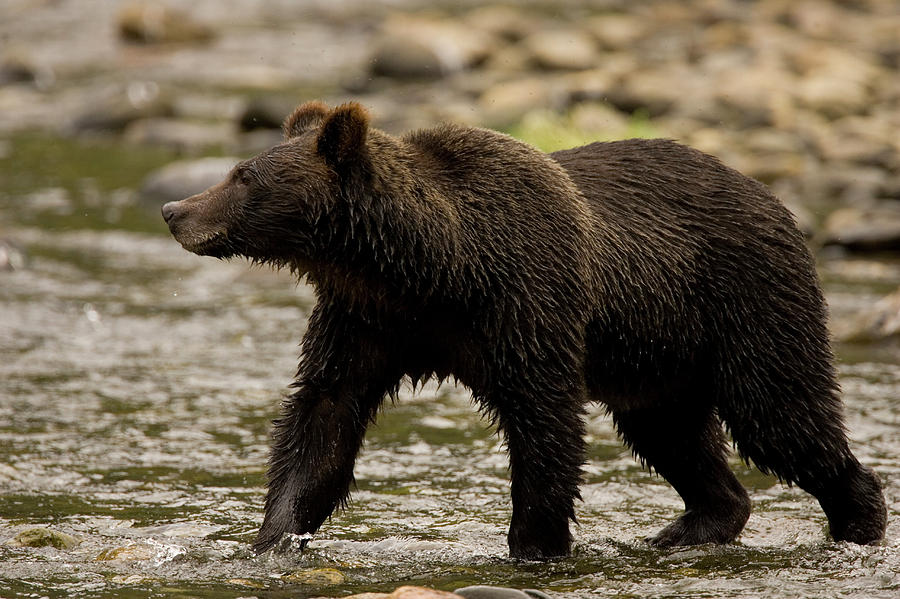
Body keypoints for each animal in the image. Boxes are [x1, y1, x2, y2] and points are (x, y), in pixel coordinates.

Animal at [162, 101, 884, 560]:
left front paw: (534, 546)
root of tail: (774, 199)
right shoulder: (368, 321)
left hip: (745, 302)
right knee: (671, 432)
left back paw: (859, 518)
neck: (432, 266)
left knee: (779, 413)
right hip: (659, 358)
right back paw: (695, 524)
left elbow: (544, 423)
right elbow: (322, 417)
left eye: (242, 176)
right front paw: (272, 538)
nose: (174, 209)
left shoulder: (526, 301)